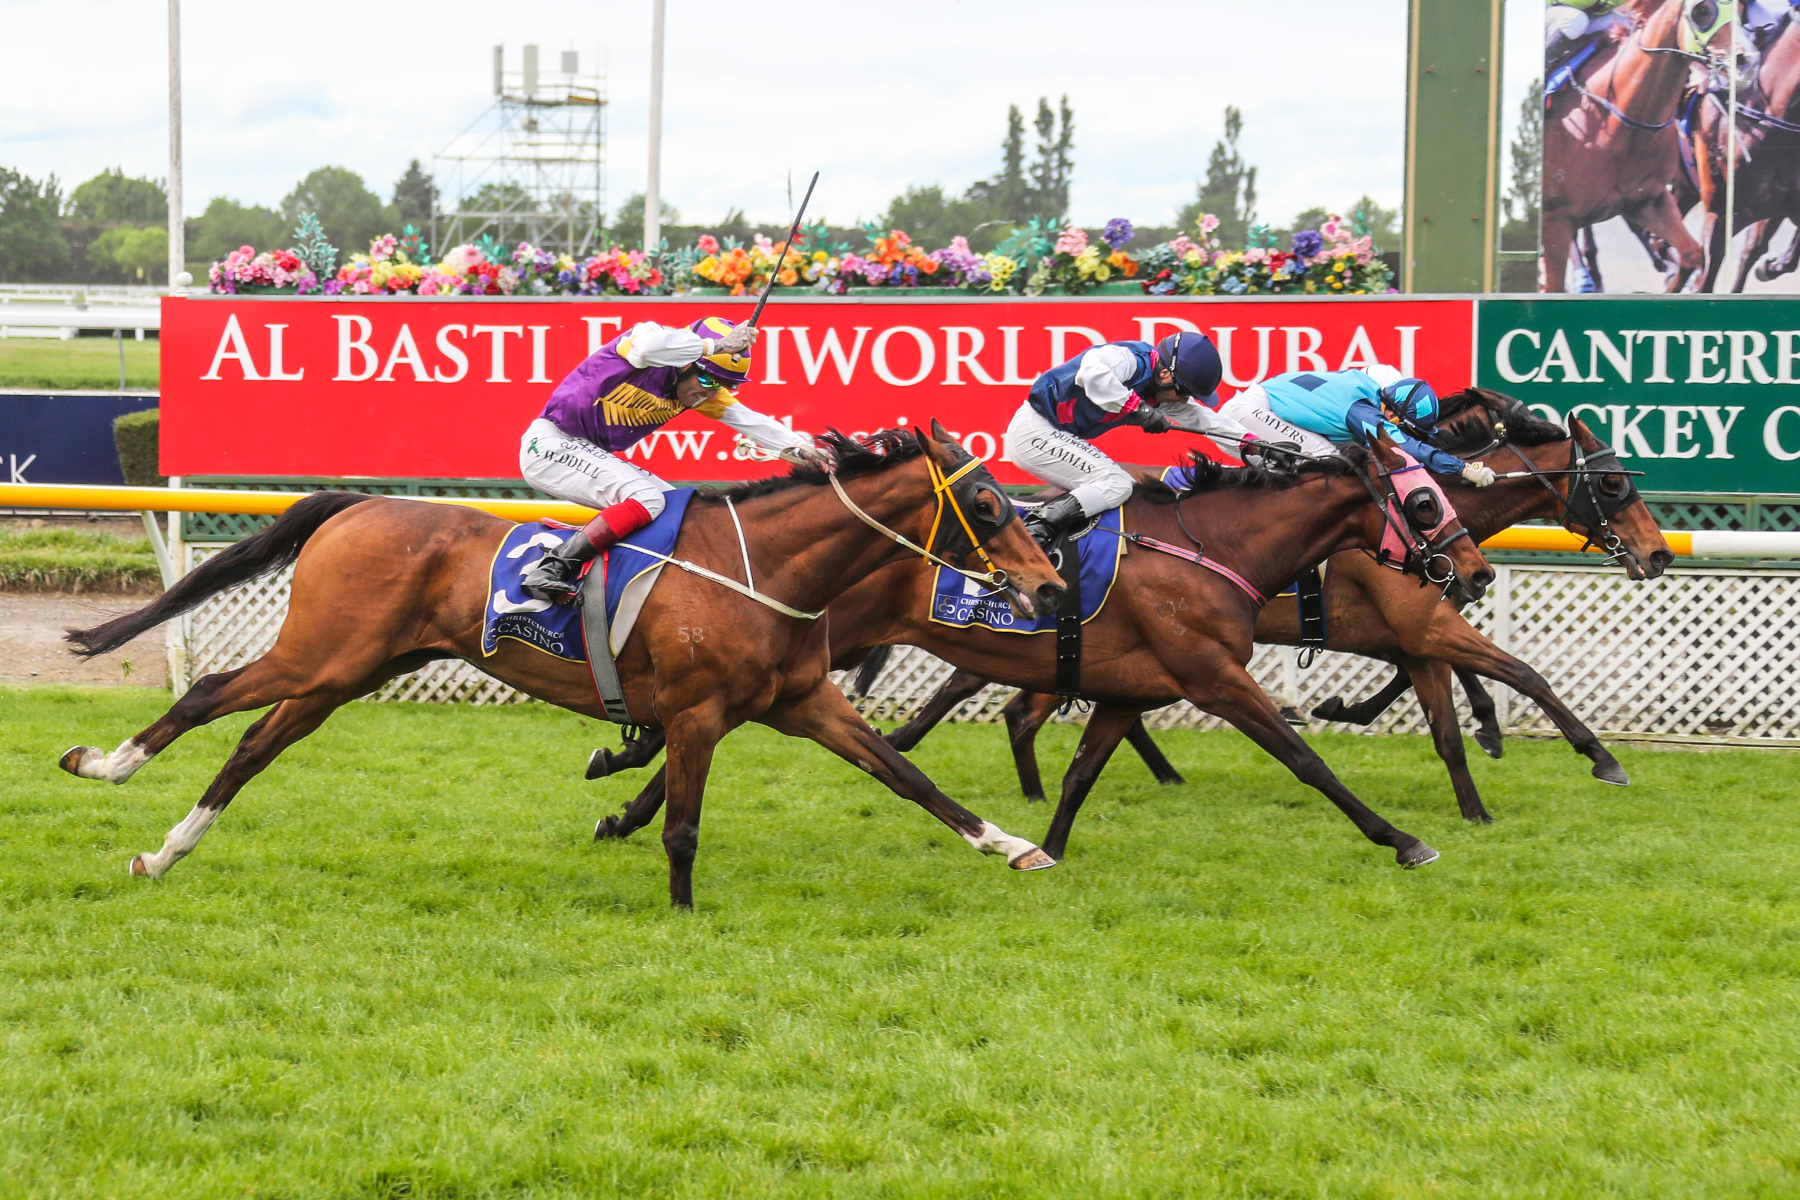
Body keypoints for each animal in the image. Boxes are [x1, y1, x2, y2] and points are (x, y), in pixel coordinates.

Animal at [56, 426, 1065, 906]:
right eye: (986, 502)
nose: (1050, 585)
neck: (766, 569)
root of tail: (358, 504)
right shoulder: (696, 715)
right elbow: (682, 827)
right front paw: (682, 916)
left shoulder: (806, 703)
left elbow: (909, 778)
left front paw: (1016, 846)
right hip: (322, 651)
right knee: (210, 695)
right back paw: (102, 764)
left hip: (347, 673)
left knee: (253, 746)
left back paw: (165, 850)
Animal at [586, 431, 1490, 874]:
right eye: (1423, 501)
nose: (1476, 572)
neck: (1210, 547)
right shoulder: (1213, 675)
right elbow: (1306, 759)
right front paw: (1402, 839)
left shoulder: (1129, 689)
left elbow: (1084, 772)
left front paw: (1044, 847)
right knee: (703, 725)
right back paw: (625, 783)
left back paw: (624, 804)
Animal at [864, 390, 1663, 831]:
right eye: (1615, 484)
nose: (1658, 555)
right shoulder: (1424, 625)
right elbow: (1523, 673)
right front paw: (1600, 758)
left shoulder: (1412, 635)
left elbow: (1444, 723)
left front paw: (1472, 800)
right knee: (990, 696)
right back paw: (909, 742)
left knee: (1021, 705)